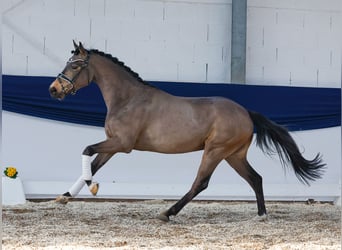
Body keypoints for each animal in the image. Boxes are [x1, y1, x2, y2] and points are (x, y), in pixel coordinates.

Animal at [49, 42, 324, 222]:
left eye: (75, 66)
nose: (54, 89)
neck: (127, 99)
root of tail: (245, 112)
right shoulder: (112, 144)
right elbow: (93, 164)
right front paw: (65, 196)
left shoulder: (121, 144)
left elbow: (87, 151)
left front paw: (91, 187)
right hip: (234, 155)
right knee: (255, 178)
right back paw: (261, 215)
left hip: (215, 151)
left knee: (201, 182)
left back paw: (167, 213)